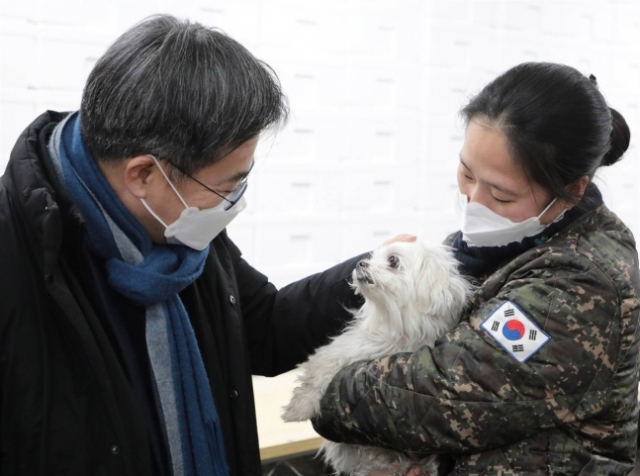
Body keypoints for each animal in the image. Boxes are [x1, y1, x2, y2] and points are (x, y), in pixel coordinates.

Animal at [282, 242, 472, 476]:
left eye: (393, 260)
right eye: (372, 257)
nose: (361, 263)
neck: (398, 326)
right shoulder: (348, 348)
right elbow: (320, 372)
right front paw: (300, 407)